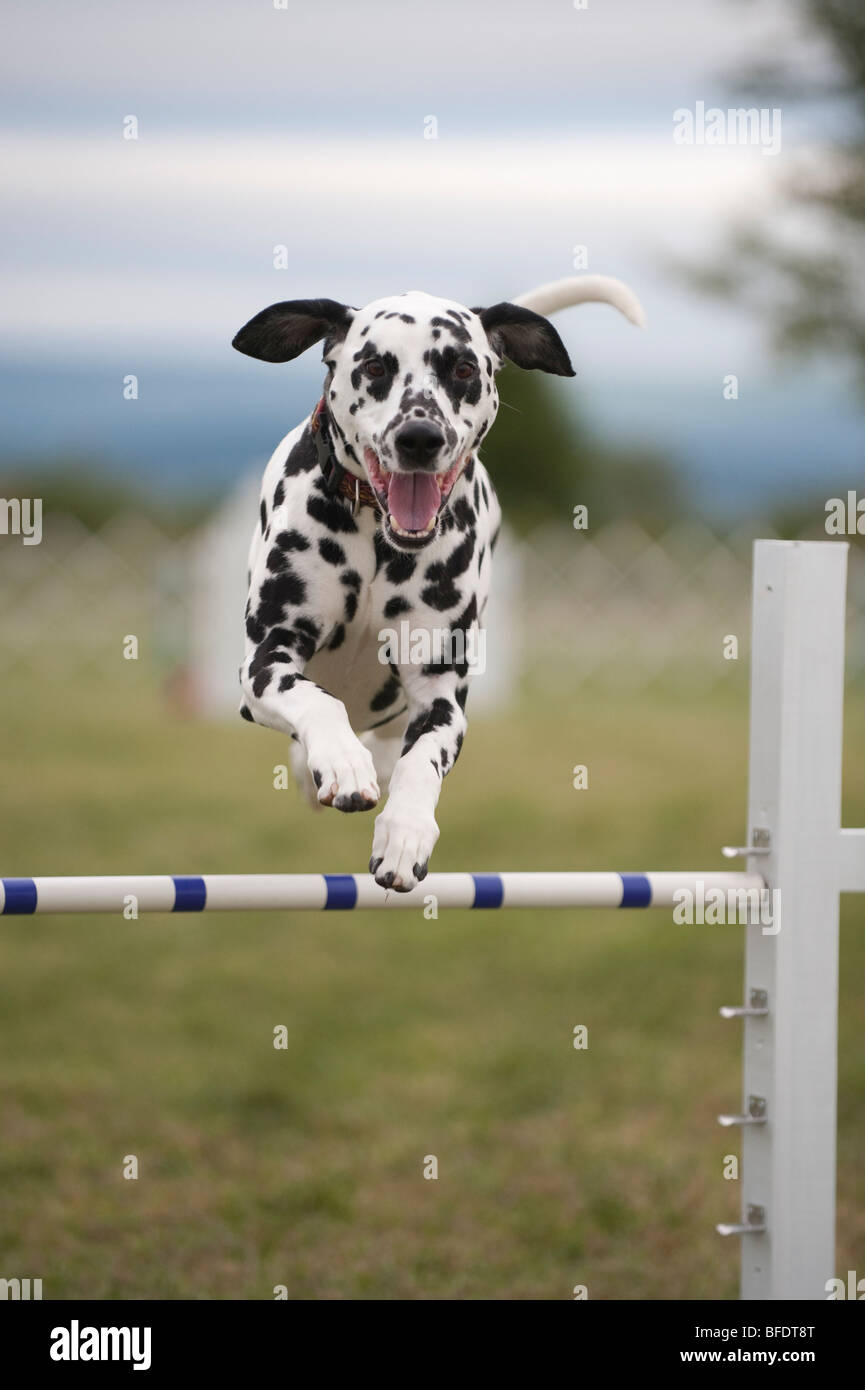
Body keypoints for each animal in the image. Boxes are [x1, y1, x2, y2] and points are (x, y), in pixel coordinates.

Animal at [235, 273, 645, 889]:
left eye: (463, 368)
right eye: (374, 366)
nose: (420, 436)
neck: (378, 539)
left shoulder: (440, 697)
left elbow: (421, 763)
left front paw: (404, 833)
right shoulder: (266, 662)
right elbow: (317, 700)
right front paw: (342, 762)